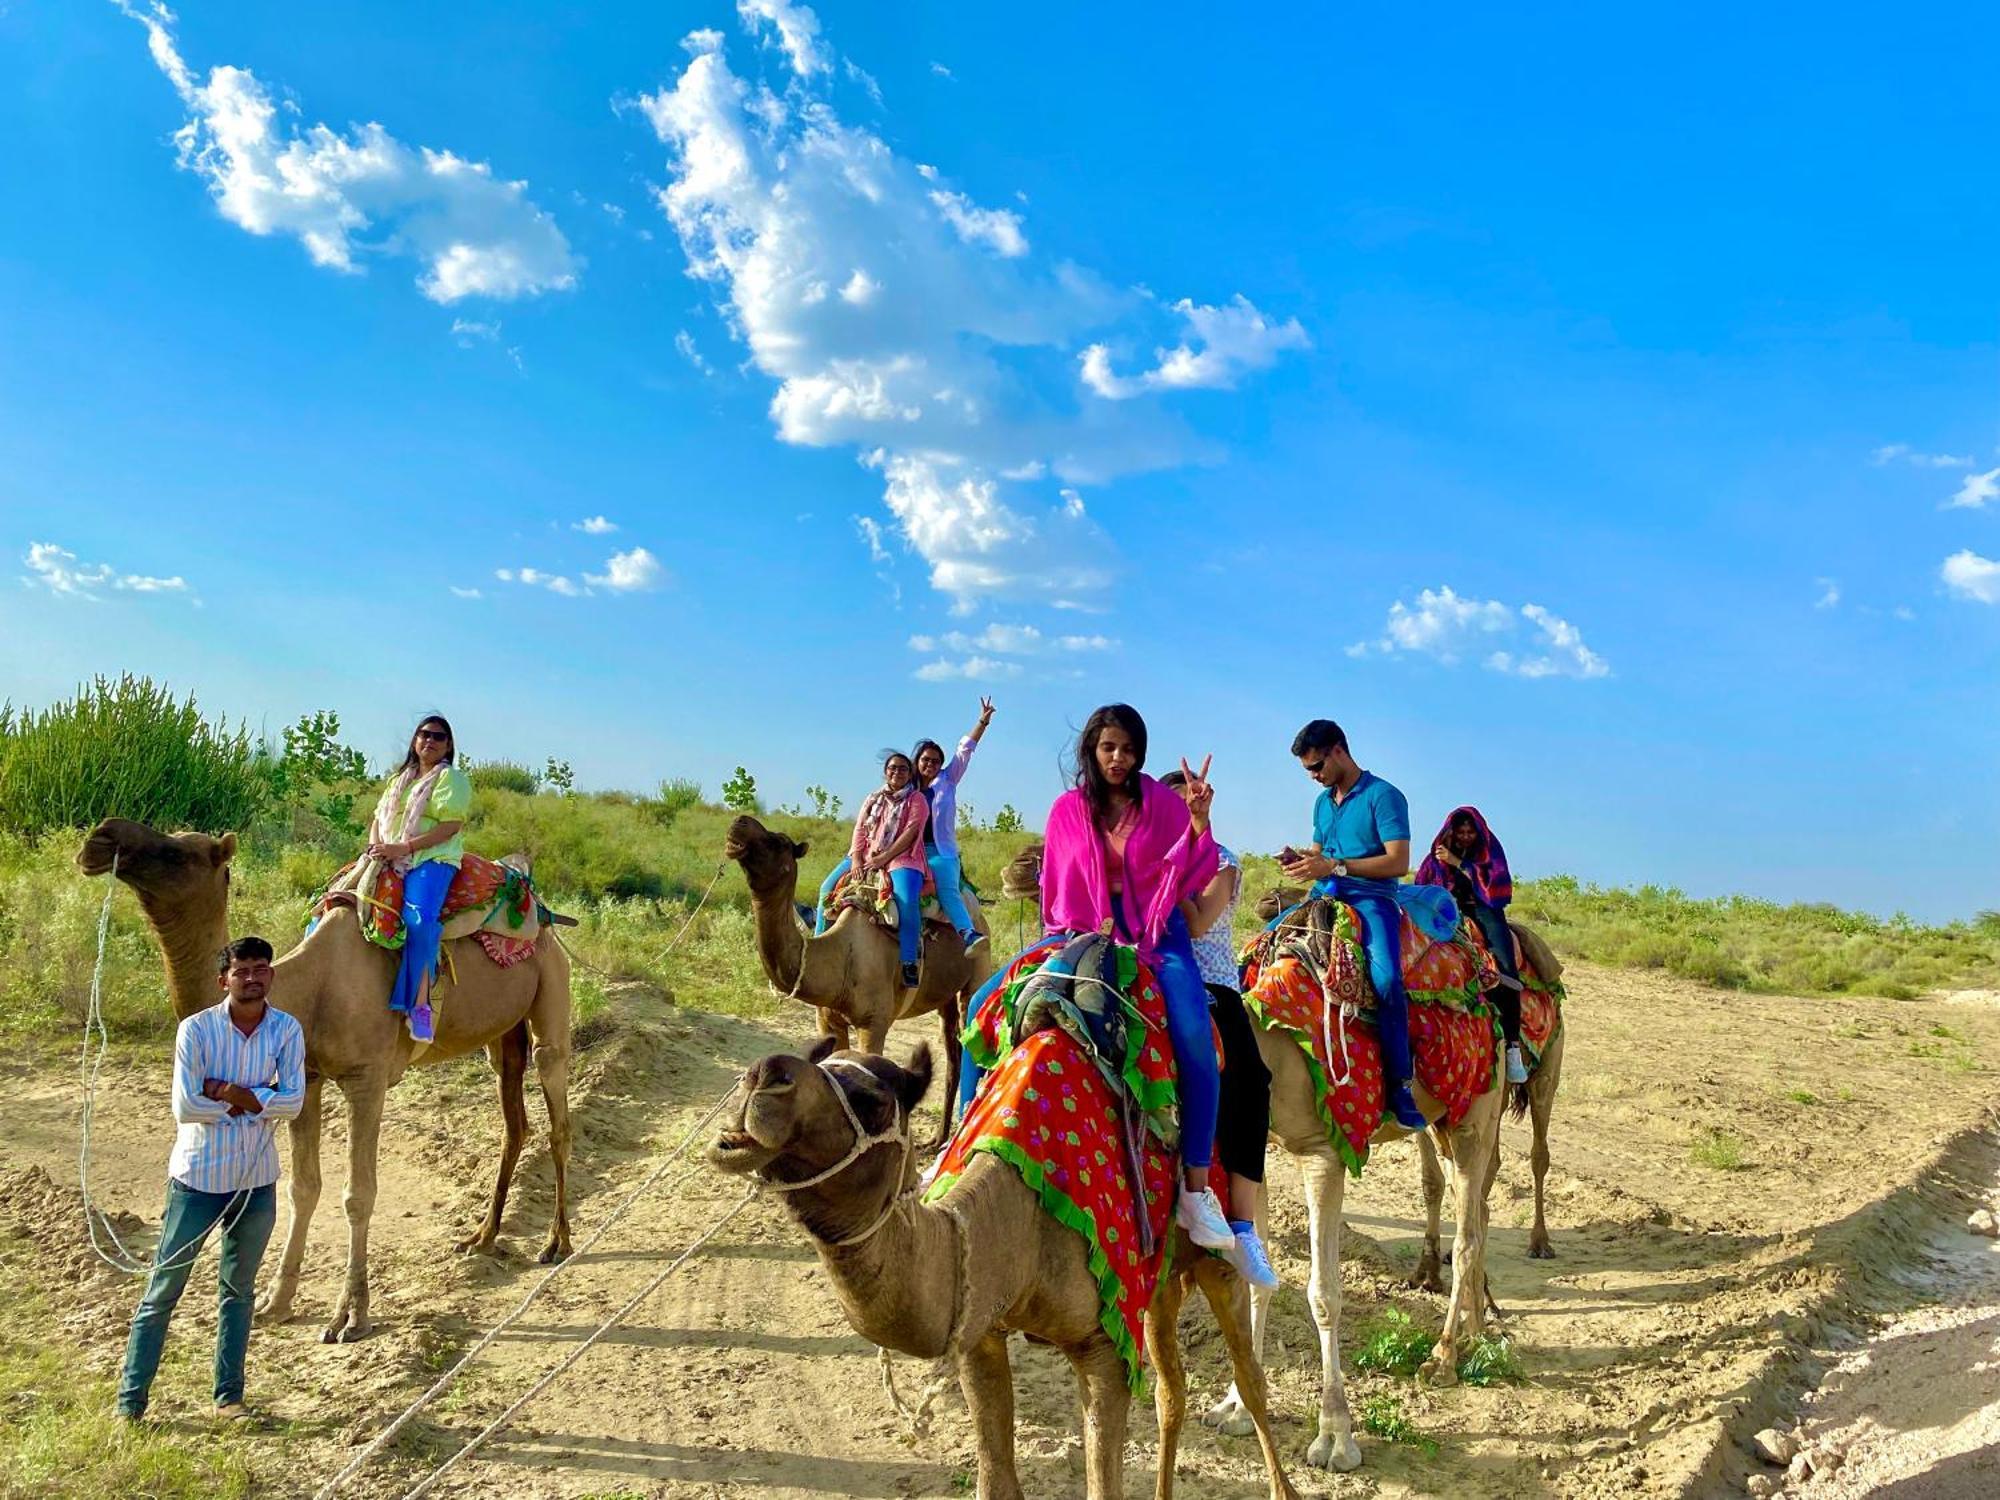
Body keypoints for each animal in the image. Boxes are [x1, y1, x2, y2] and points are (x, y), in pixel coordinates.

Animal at [78, 824, 576, 1352]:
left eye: (176, 852)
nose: (99, 838)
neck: (309, 990)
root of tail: (545, 919)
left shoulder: (366, 1079)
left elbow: (358, 1194)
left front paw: (350, 1316)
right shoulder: (307, 1077)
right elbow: (303, 1186)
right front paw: (276, 1302)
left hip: (552, 989)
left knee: (556, 1108)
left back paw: (556, 1242)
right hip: (502, 1032)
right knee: (514, 1120)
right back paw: (482, 1237)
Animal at [712, 1040, 1304, 1500]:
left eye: (872, 1100)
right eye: (822, 1060)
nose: (763, 1074)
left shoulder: (1102, 1342)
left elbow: (1102, 1483)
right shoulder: (981, 1333)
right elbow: (995, 1480)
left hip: (1215, 1257)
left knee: (1248, 1373)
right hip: (1157, 1286)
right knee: (1170, 1391)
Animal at [728, 816, 992, 1144]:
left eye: (777, 841)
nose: (740, 821)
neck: (842, 957)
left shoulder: (873, 1024)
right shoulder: (829, 1022)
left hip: (976, 974)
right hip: (944, 996)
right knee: (952, 1048)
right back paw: (937, 1137)